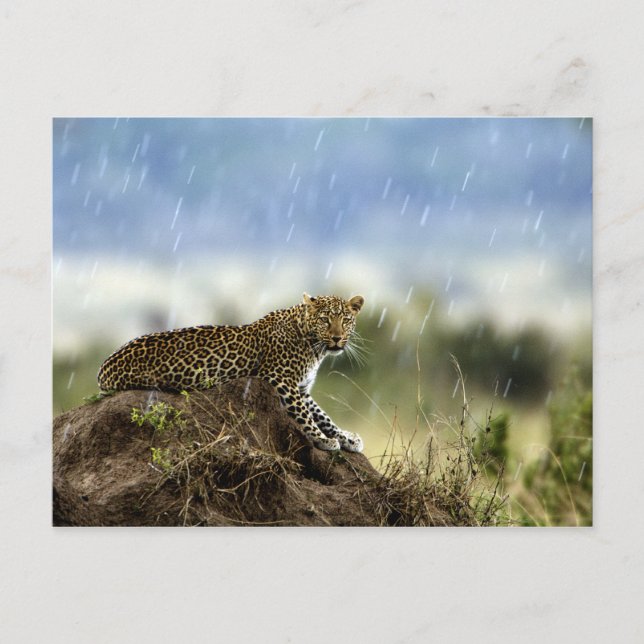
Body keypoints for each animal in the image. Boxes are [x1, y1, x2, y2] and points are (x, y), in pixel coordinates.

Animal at [97, 293, 366, 452]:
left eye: (345, 320)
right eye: (324, 320)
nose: (337, 337)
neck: (313, 345)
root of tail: (103, 368)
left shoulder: (302, 388)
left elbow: (323, 415)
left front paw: (348, 438)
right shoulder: (281, 380)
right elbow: (306, 416)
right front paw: (323, 439)